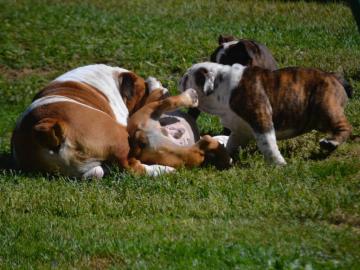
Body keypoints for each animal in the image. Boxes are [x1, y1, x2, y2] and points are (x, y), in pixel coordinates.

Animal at [179, 62, 352, 165]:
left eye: (187, 78)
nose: (180, 80)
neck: (221, 89)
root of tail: (334, 76)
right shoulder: (240, 129)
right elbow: (232, 142)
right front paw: (224, 153)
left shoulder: (260, 117)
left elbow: (267, 143)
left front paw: (278, 164)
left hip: (326, 106)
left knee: (345, 126)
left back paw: (331, 142)